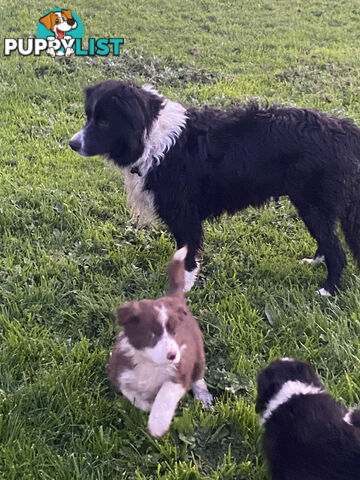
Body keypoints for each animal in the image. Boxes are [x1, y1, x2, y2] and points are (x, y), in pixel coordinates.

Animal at [69, 80, 360, 294]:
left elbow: (187, 253)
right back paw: (316, 262)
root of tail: (344, 128)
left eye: (104, 121)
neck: (151, 138)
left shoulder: (184, 215)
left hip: (314, 205)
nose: (72, 144)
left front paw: (182, 289)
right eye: (88, 117)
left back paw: (328, 291)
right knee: (327, 241)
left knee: (337, 250)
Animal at [108, 248, 212, 438]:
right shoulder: (120, 371)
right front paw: (145, 404)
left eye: (175, 332)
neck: (151, 364)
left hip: (198, 348)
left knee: (199, 373)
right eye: (152, 334)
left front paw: (157, 425)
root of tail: (174, 298)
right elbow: (131, 393)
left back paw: (203, 395)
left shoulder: (180, 371)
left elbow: (165, 396)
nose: (172, 355)